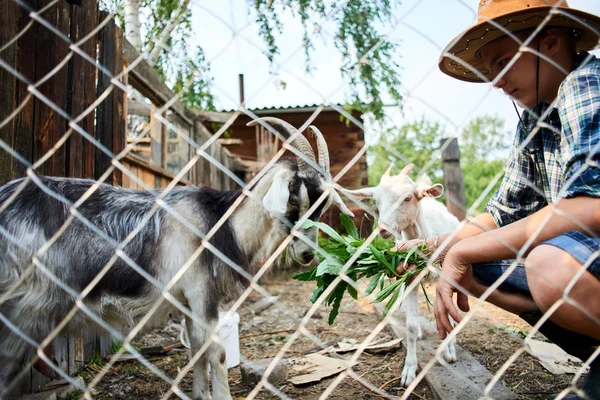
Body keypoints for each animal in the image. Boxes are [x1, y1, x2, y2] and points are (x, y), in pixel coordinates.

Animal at [342, 163, 460, 388]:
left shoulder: (445, 276)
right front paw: (409, 371)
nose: (383, 229)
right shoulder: (410, 278)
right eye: (376, 201)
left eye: (407, 197)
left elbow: (447, 313)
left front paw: (449, 351)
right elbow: (410, 326)